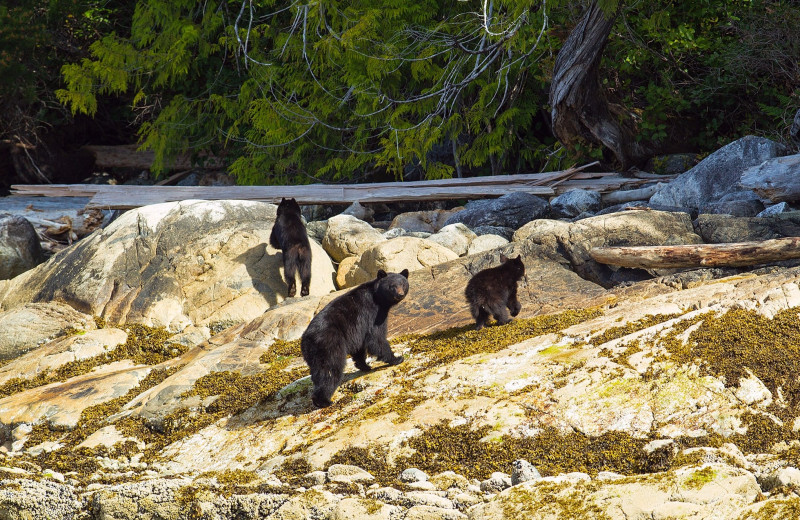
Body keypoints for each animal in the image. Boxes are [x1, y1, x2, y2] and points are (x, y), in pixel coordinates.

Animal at [302, 270, 410, 408]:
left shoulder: (357, 330)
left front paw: (364, 365)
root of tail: (307, 339)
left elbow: (360, 346)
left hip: (313, 356)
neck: (378, 298)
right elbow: (376, 338)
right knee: (331, 370)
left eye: (403, 284)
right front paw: (397, 358)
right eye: (392, 286)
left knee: (318, 374)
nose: (400, 294)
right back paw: (324, 401)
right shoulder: (373, 314)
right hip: (329, 345)